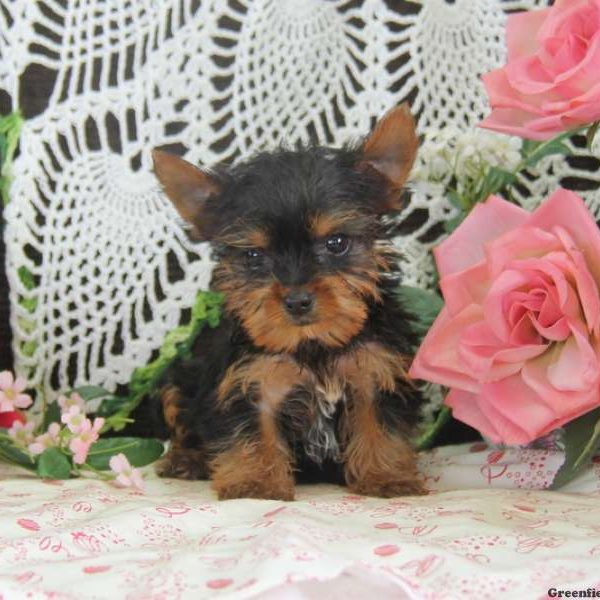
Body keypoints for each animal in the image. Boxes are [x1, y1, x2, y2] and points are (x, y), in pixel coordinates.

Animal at [152, 104, 426, 502]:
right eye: (253, 255)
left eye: (337, 243)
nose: (297, 301)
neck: (312, 344)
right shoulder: (251, 380)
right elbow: (253, 432)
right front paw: (256, 483)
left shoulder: (376, 368)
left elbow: (379, 422)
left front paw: (387, 477)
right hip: (178, 380)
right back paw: (186, 459)